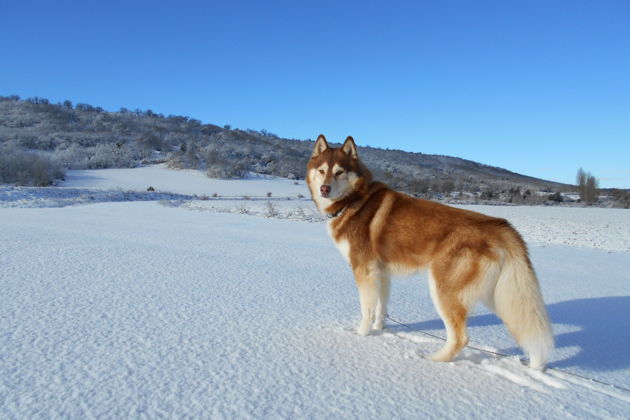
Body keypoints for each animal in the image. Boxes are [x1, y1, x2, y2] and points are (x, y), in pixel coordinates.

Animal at [308, 135, 556, 370]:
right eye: (321, 170)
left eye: (339, 172)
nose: (324, 189)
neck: (353, 200)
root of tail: (499, 225)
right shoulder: (381, 273)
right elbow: (381, 307)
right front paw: (381, 330)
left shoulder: (364, 271)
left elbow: (366, 310)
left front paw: (360, 336)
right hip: (499, 295)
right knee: (525, 325)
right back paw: (536, 365)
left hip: (444, 290)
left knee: (460, 337)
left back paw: (433, 360)